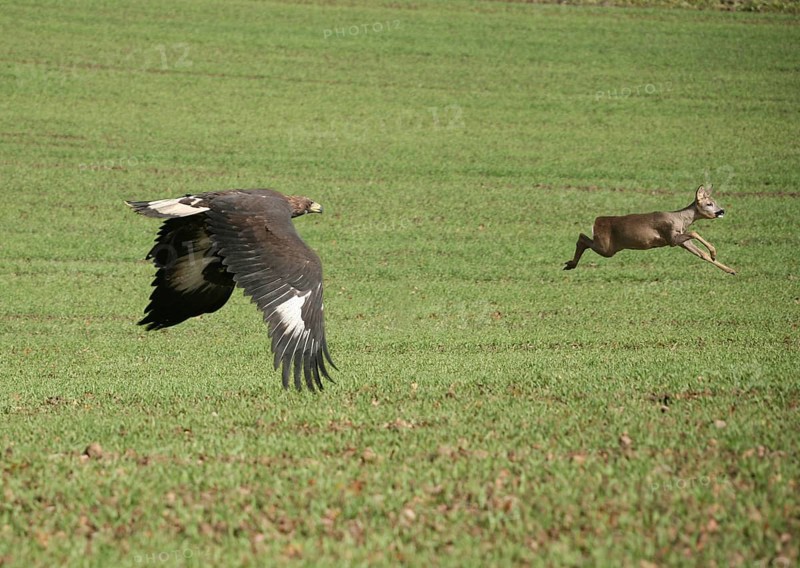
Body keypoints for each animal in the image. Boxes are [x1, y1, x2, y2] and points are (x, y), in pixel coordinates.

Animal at [563, 185, 736, 275]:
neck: (680, 220)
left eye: (715, 201)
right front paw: (714, 253)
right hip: (606, 247)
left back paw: (570, 264)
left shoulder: (680, 241)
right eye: (709, 204)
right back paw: (570, 263)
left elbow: (701, 254)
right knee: (582, 237)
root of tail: (597, 220)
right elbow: (694, 232)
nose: (721, 211)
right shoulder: (671, 237)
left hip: (609, 247)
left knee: (583, 238)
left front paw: (730, 269)